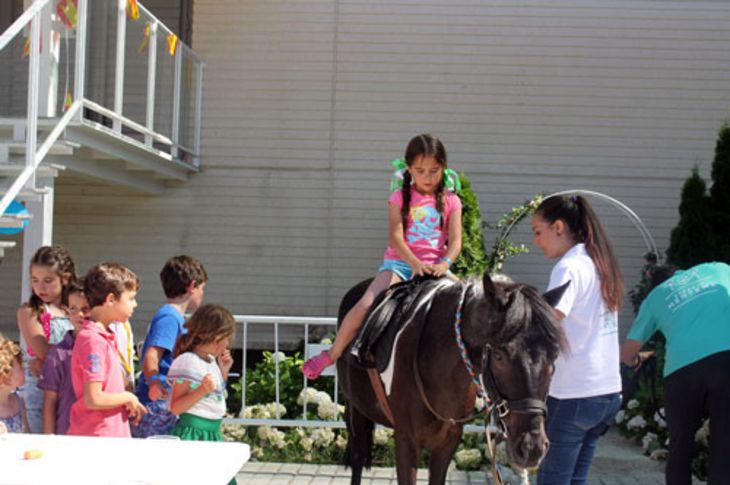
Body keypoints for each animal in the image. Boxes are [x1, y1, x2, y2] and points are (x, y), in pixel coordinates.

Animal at [332, 272, 564, 484]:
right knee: (357, 458)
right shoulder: (406, 440)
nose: (532, 448)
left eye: (554, 355)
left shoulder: (447, 442)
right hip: (355, 409)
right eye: (499, 355)